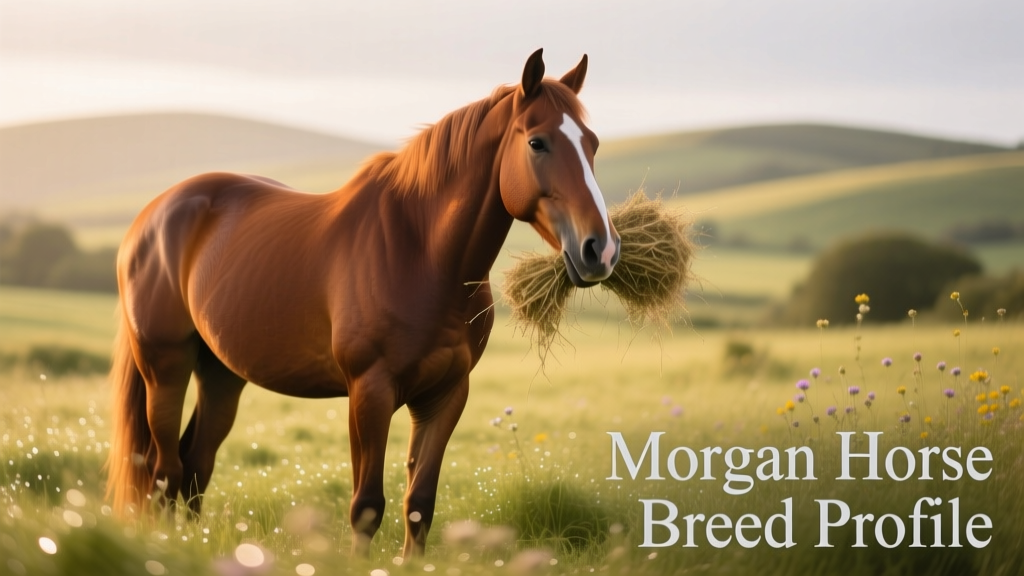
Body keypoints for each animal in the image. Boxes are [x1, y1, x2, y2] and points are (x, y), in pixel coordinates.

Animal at [105, 48, 620, 557]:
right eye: (537, 142)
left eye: (593, 143)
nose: (601, 249)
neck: (422, 256)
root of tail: (153, 215)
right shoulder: (369, 391)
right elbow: (367, 506)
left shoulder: (446, 394)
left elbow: (420, 502)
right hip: (165, 368)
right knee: (165, 472)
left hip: (222, 373)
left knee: (196, 465)